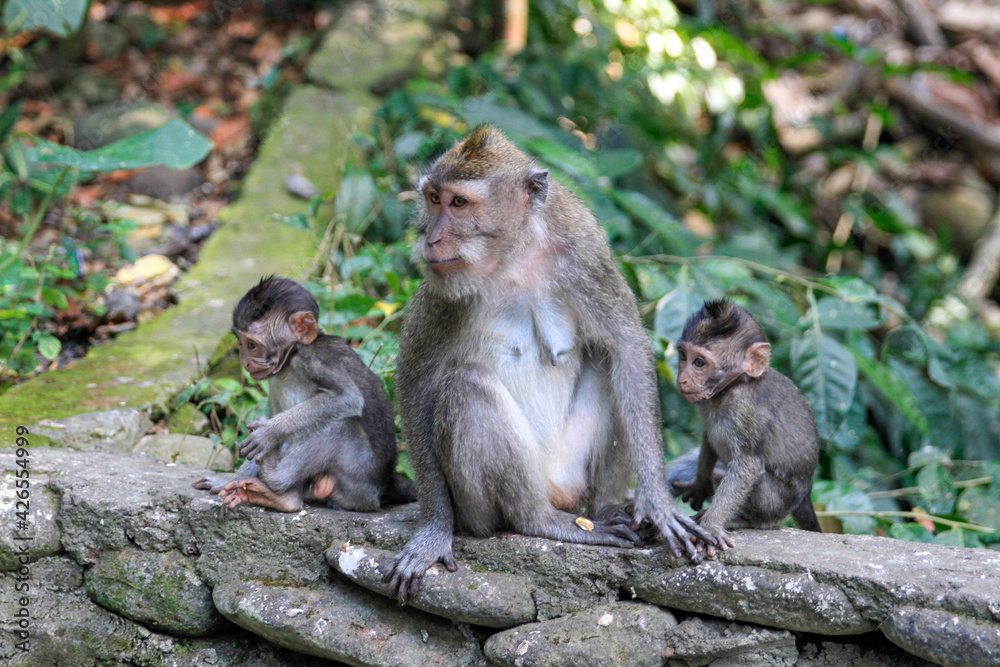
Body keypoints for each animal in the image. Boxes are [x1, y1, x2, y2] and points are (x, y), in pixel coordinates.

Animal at [193, 276, 412, 512]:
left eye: (251, 345)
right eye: (241, 344)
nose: (245, 363)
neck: (291, 359)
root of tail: (386, 485)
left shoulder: (313, 359)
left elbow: (347, 398)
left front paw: (267, 434)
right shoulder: (274, 379)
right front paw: (227, 481)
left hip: (361, 480)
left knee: (342, 425)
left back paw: (279, 486)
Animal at [384, 124, 720, 604]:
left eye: (459, 203)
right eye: (432, 199)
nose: (431, 239)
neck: (515, 254)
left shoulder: (585, 252)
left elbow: (627, 349)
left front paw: (657, 502)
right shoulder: (442, 291)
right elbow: (416, 383)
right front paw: (432, 530)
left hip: (570, 470)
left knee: (606, 361)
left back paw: (605, 511)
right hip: (486, 503)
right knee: (467, 385)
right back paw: (537, 520)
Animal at [668, 300, 824, 556]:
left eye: (699, 362)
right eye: (683, 356)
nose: (682, 380)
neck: (731, 388)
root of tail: (804, 496)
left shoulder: (746, 411)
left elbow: (747, 466)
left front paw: (710, 528)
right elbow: (708, 440)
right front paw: (700, 484)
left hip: (777, 502)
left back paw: (748, 520)